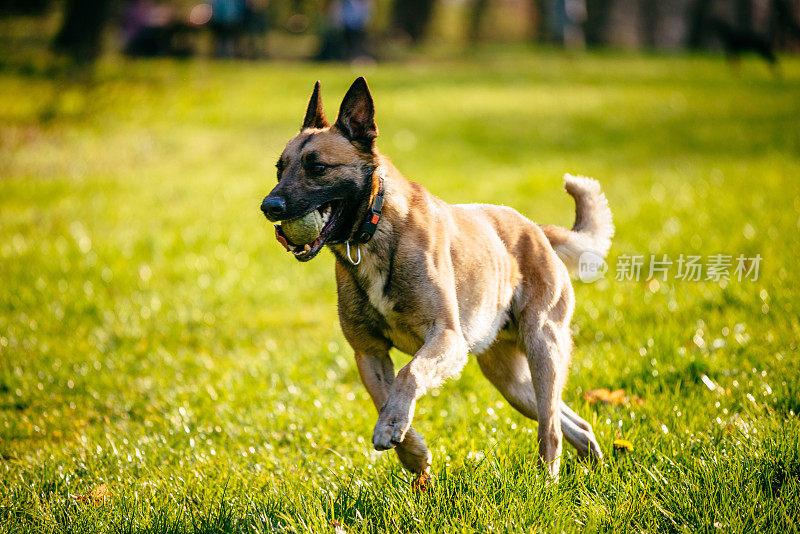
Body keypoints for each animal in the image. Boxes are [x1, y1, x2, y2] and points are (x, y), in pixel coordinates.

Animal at [260, 77, 612, 484]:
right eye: (279, 169)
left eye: (317, 167)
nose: (269, 208)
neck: (375, 229)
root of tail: (537, 230)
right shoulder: (369, 353)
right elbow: (383, 396)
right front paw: (412, 452)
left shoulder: (445, 338)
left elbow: (409, 375)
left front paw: (392, 428)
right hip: (512, 383)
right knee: (570, 421)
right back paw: (593, 470)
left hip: (543, 346)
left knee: (551, 428)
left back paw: (547, 481)